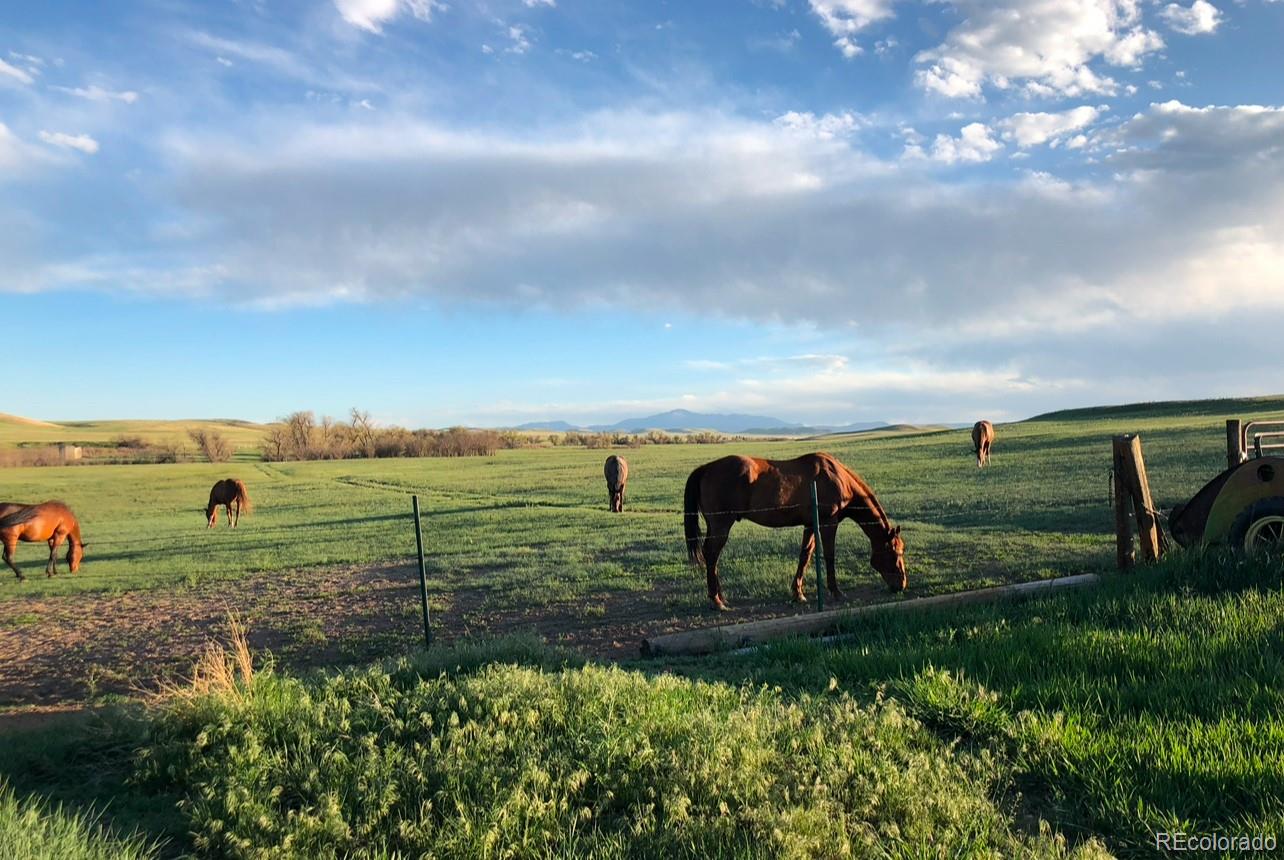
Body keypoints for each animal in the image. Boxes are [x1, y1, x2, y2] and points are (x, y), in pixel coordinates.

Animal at [683, 451, 903, 613]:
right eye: (895, 554)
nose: (901, 585)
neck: (837, 478)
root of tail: (706, 469)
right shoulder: (828, 523)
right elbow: (829, 555)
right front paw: (836, 591)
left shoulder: (810, 525)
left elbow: (804, 556)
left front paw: (798, 593)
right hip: (721, 526)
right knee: (712, 555)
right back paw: (717, 601)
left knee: (712, 557)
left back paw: (720, 597)